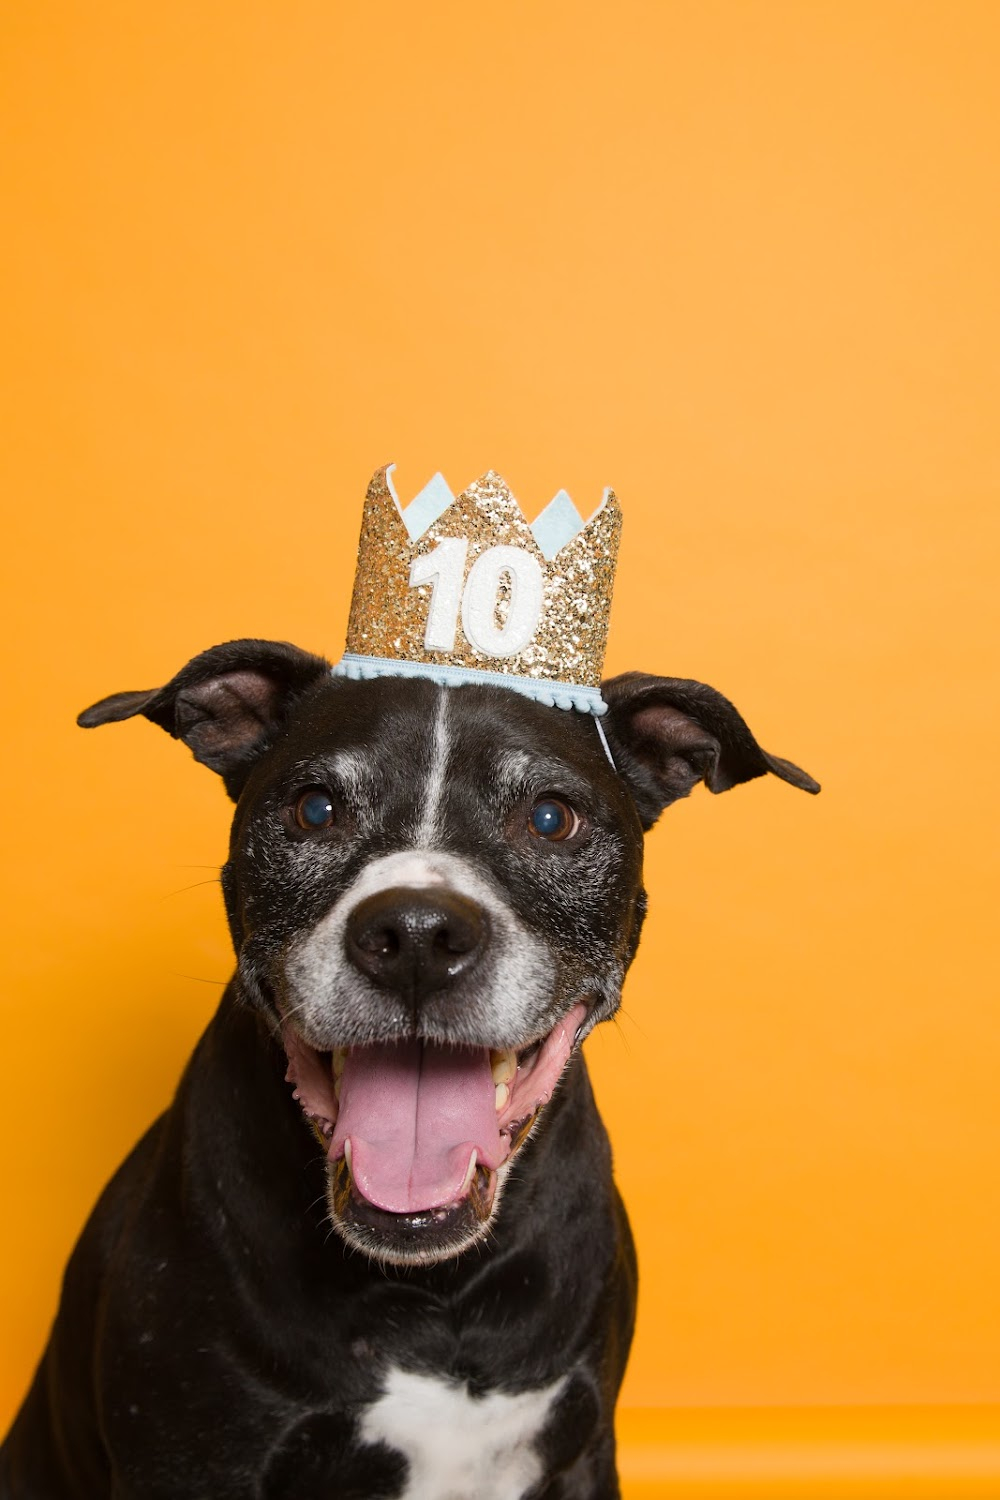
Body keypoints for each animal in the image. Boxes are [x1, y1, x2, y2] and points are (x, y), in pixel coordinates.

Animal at [0, 642, 815, 1500]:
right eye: (315, 809)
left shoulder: (581, 1453)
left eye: (551, 818)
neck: (433, 1291)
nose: (417, 935)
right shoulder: (190, 1464)